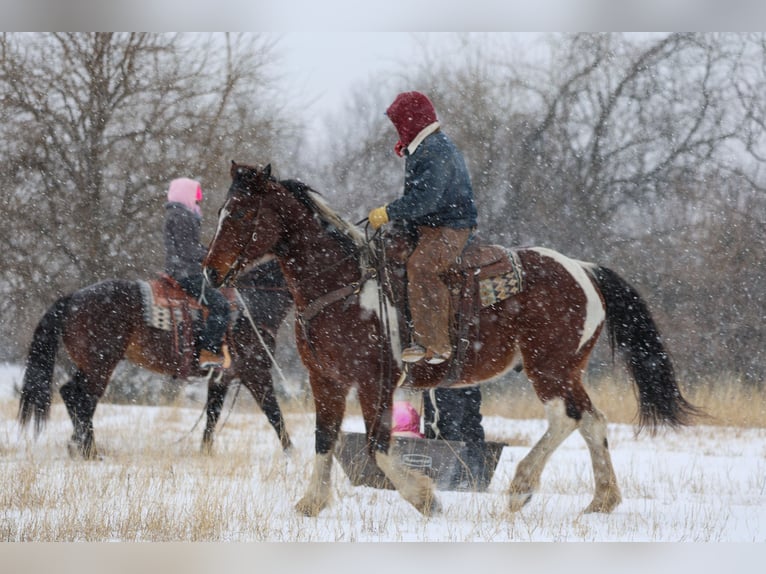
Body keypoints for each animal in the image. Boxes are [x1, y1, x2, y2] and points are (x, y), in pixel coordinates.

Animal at [18, 258, 294, 459]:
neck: (253, 305)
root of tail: (72, 298)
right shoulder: (256, 373)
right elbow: (274, 413)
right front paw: (292, 454)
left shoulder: (222, 378)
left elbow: (212, 416)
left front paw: (205, 452)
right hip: (101, 365)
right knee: (82, 400)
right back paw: (90, 451)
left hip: (90, 365)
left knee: (71, 395)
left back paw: (79, 446)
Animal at [203, 161, 701, 517]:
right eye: (221, 211)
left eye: (241, 212)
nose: (210, 271)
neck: (343, 282)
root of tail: (584, 269)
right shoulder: (327, 380)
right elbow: (325, 440)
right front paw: (311, 503)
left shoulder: (375, 381)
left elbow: (378, 448)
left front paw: (425, 497)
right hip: (567, 368)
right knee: (592, 421)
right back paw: (601, 500)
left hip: (548, 367)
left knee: (566, 417)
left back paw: (521, 488)